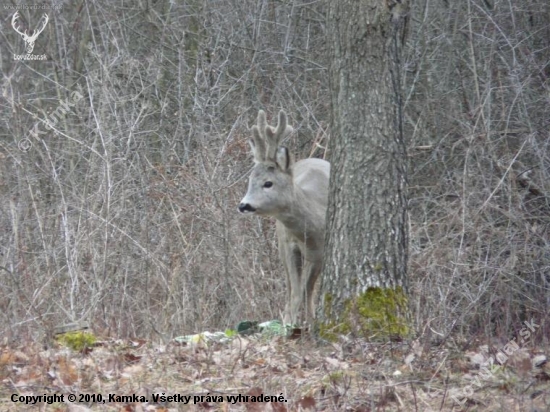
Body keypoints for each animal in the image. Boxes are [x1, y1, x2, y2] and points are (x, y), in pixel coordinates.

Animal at [239, 110, 330, 326]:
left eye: (268, 183)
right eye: (250, 180)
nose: (244, 205)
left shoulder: (319, 252)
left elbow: (307, 291)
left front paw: (307, 322)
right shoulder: (289, 245)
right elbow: (295, 292)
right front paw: (289, 322)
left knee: (309, 289)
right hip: (281, 243)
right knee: (292, 288)